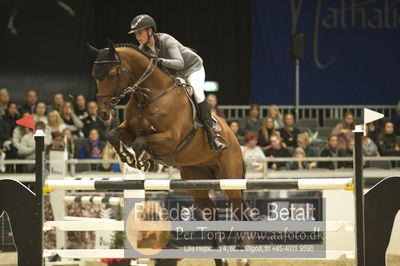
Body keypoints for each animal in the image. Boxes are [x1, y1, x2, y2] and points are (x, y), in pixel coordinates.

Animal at [88, 40, 244, 264]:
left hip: (231, 179)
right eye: (95, 75)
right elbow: (114, 135)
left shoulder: (170, 138)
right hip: (196, 184)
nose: (102, 113)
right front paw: (131, 158)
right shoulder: (129, 130)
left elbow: (141, 143)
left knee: (238, 210)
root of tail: (233, 136)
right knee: (212, 213)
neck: (147, 96)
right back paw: (218, 257)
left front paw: (144, 161)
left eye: (111, 74)